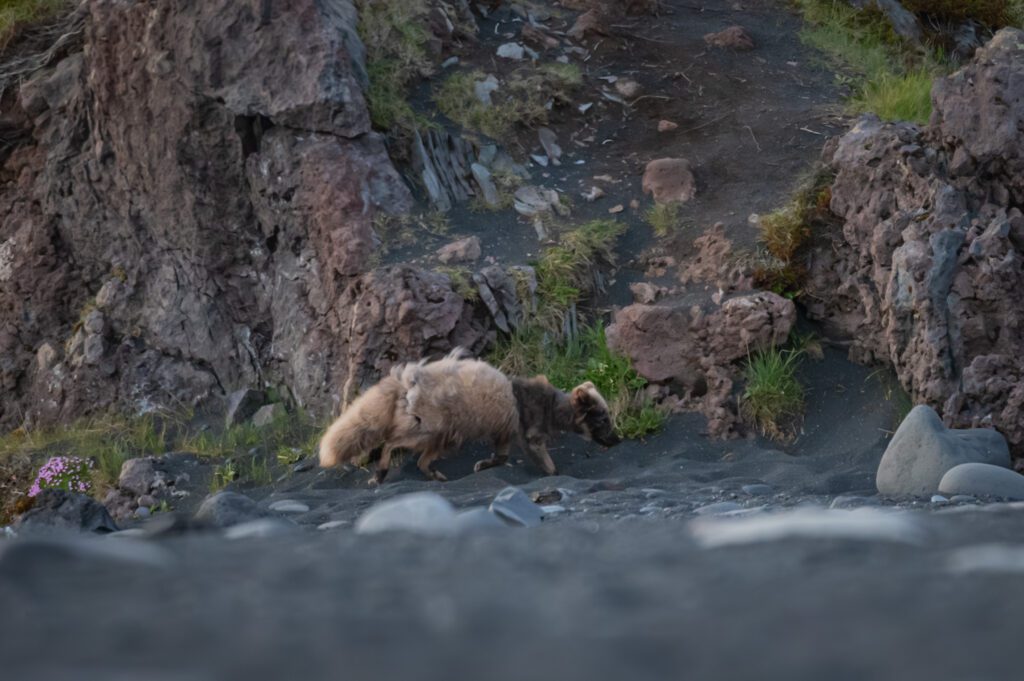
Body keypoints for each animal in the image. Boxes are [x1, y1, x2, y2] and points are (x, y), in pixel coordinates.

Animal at [317, 349, 621, 483]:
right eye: (603, 420)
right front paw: (555, 475)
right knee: (391, 443)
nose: (618, 441)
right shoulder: (530, 438)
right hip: (427, 431)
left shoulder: (504, 433)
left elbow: (501, 457)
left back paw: (435, 475)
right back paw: (380, 473)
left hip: (442, 438)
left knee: (421, 461)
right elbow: (549, 467)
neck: (549, 405)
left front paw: (483, 464)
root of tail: (407, 378)